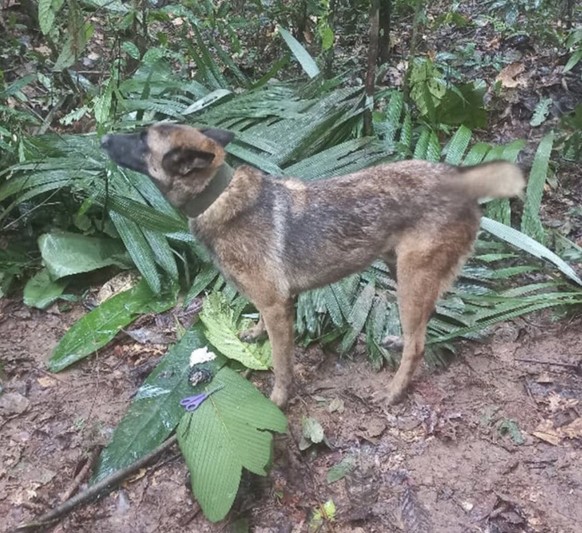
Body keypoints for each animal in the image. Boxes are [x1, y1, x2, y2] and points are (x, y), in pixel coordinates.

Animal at [101, 125, 528, 408]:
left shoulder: (278, 307)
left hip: (411, 278)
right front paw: (254, 333)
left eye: (141, 139)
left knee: (419, 343)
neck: (218, 196)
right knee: (422, 325)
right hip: (401, 271)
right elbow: (262, 326)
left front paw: (278, 398)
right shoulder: (272, 303)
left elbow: (280, 363)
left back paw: (395, 390)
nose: (102, 138)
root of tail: (460, 179)